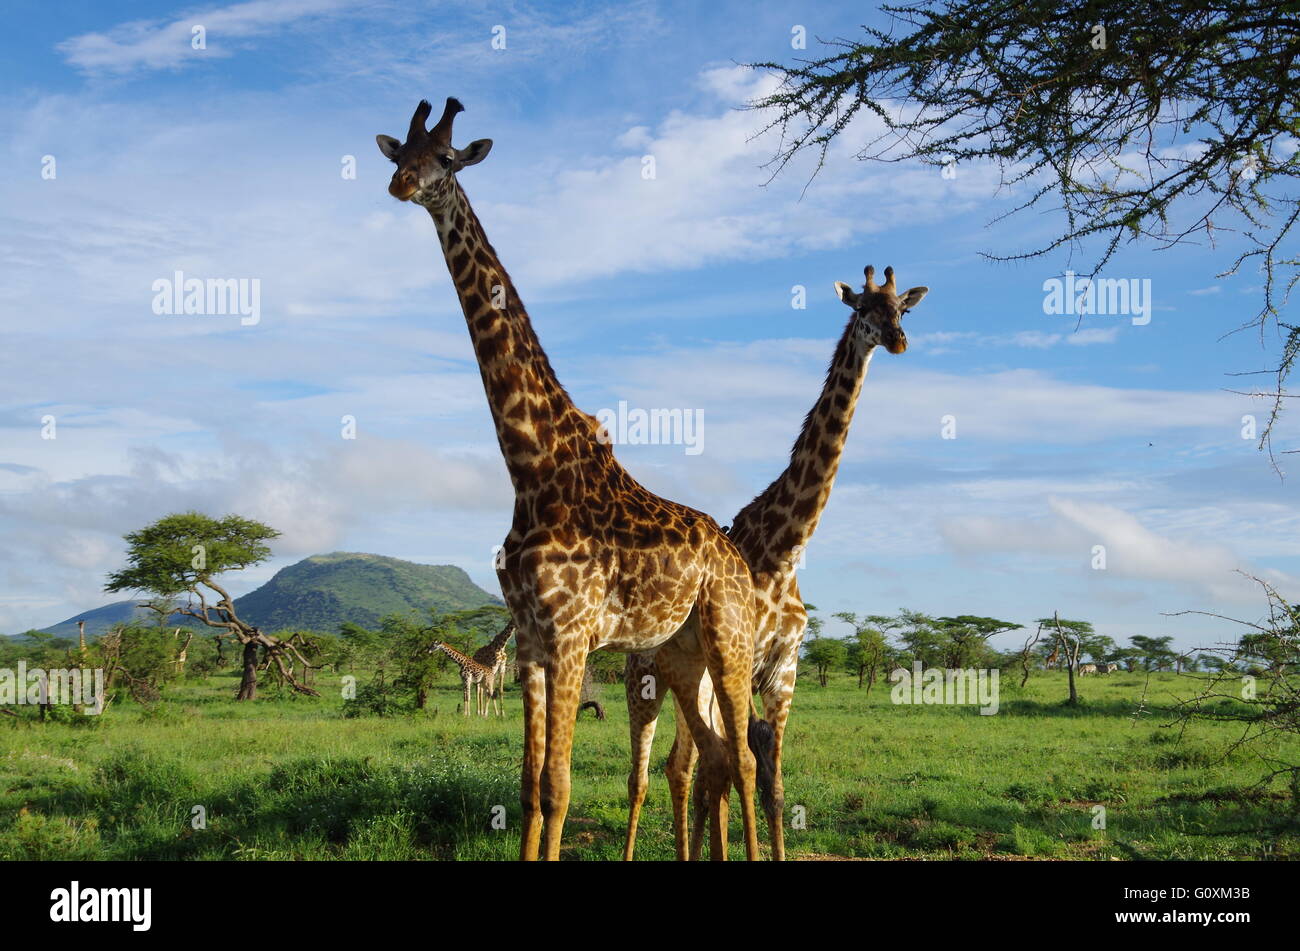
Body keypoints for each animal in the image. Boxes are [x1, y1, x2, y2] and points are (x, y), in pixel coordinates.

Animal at [377, 98, 759, 862]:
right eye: (399, 151)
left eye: (447, 158)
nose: (402, 184)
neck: (530, 467)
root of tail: (732, 553)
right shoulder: (529, 640)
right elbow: (528, 786)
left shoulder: (573, 633)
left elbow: (559, 786)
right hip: (682, 652)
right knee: (717, 756)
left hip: (728, 639)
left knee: (747, 757)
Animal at [624, 263, 930, 857]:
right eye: (863, 309)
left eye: (903, 309)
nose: (899, 341)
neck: (785, 551)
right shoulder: (742, 666)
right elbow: (740, 769)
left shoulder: (784, 672)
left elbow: (773, 781)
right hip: (645, 684)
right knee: (645, 775)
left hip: (695, 689)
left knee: (685, 766)